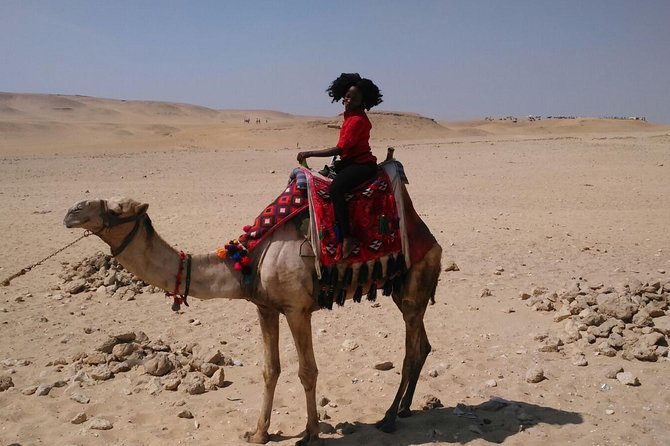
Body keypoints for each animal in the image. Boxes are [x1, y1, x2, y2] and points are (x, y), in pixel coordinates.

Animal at [63, 183, 442, 445]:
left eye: (117, 208)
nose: (71, 212)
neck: (248, 262)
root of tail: (431, 239)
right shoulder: (266, 308)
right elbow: (270, 370)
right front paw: (259, 433)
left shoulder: (296, 309)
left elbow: (307, 371)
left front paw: (311, 434)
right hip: (406, 294)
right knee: (423, 345)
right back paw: (405, 408)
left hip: (413, 288)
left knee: (410, 351)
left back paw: (389, 418)